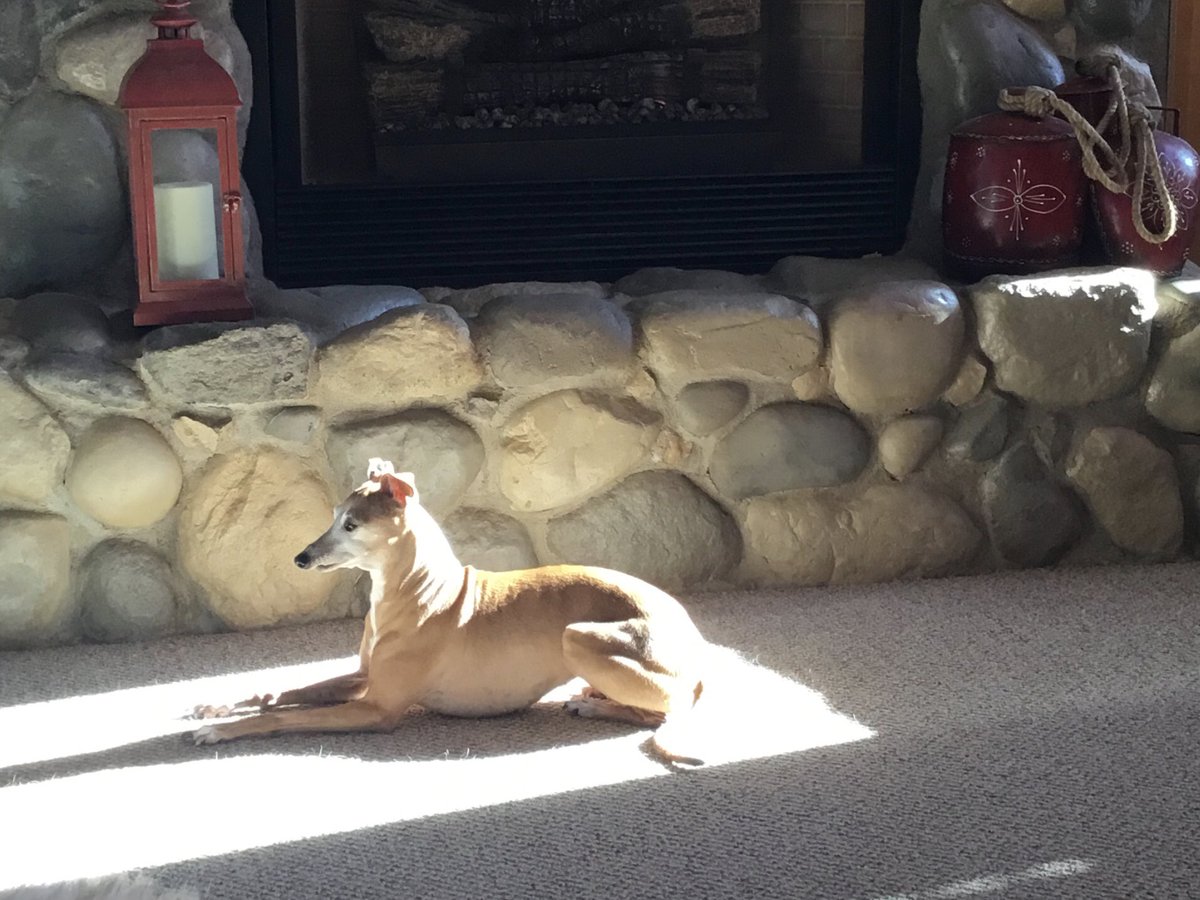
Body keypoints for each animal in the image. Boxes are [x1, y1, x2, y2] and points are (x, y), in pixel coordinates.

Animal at [190, 460, 705, 763]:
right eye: (333, 516)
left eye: (351, 525)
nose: (300, 558)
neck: (415, 590)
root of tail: (698, 645)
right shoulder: (363, 677)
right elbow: (283, 691)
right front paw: (219, 704)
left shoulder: (378, 708)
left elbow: (284, 716)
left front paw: (223, 730)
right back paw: (594, 696)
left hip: (579, 635)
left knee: (663, 711)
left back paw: (596, 705)